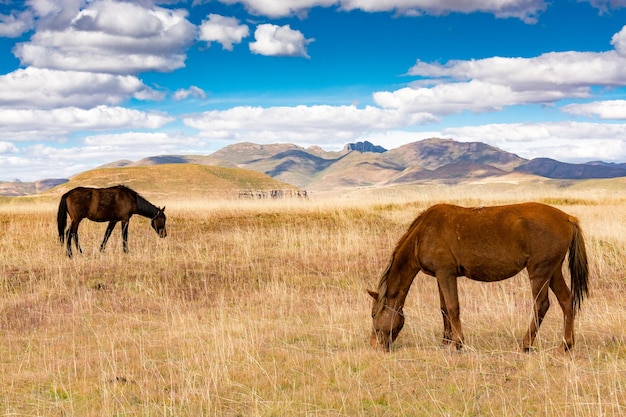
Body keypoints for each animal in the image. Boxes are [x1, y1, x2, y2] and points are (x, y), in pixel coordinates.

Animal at [366, 202, 584, 352]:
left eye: (374, 315)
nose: (374, 345)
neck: (422, 235)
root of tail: (567, 218)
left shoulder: (446, 273)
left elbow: (453, 307)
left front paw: (457, 343)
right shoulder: (439, 275)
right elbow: (444, 308)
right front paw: (446, 340)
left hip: (539, 272)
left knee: (541, 305)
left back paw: (525, 344)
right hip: (552, 271)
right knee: (567, 301)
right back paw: (566, 345)